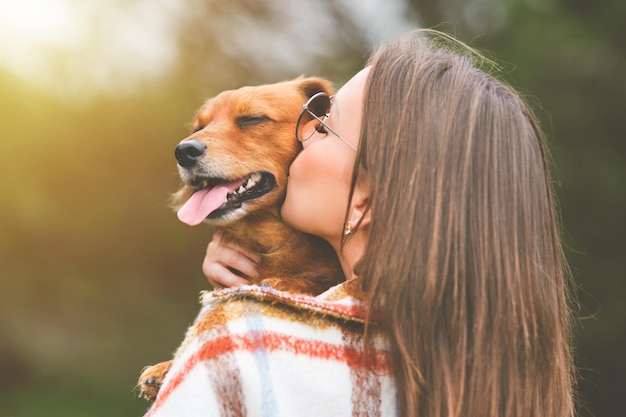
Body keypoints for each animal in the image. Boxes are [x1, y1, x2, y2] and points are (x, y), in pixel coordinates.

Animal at [136, 77, 344, 400]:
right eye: (198, 127)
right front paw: (166, 368)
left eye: (252, 119)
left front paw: (286, 284)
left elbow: (317, 279)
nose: (183, 150)